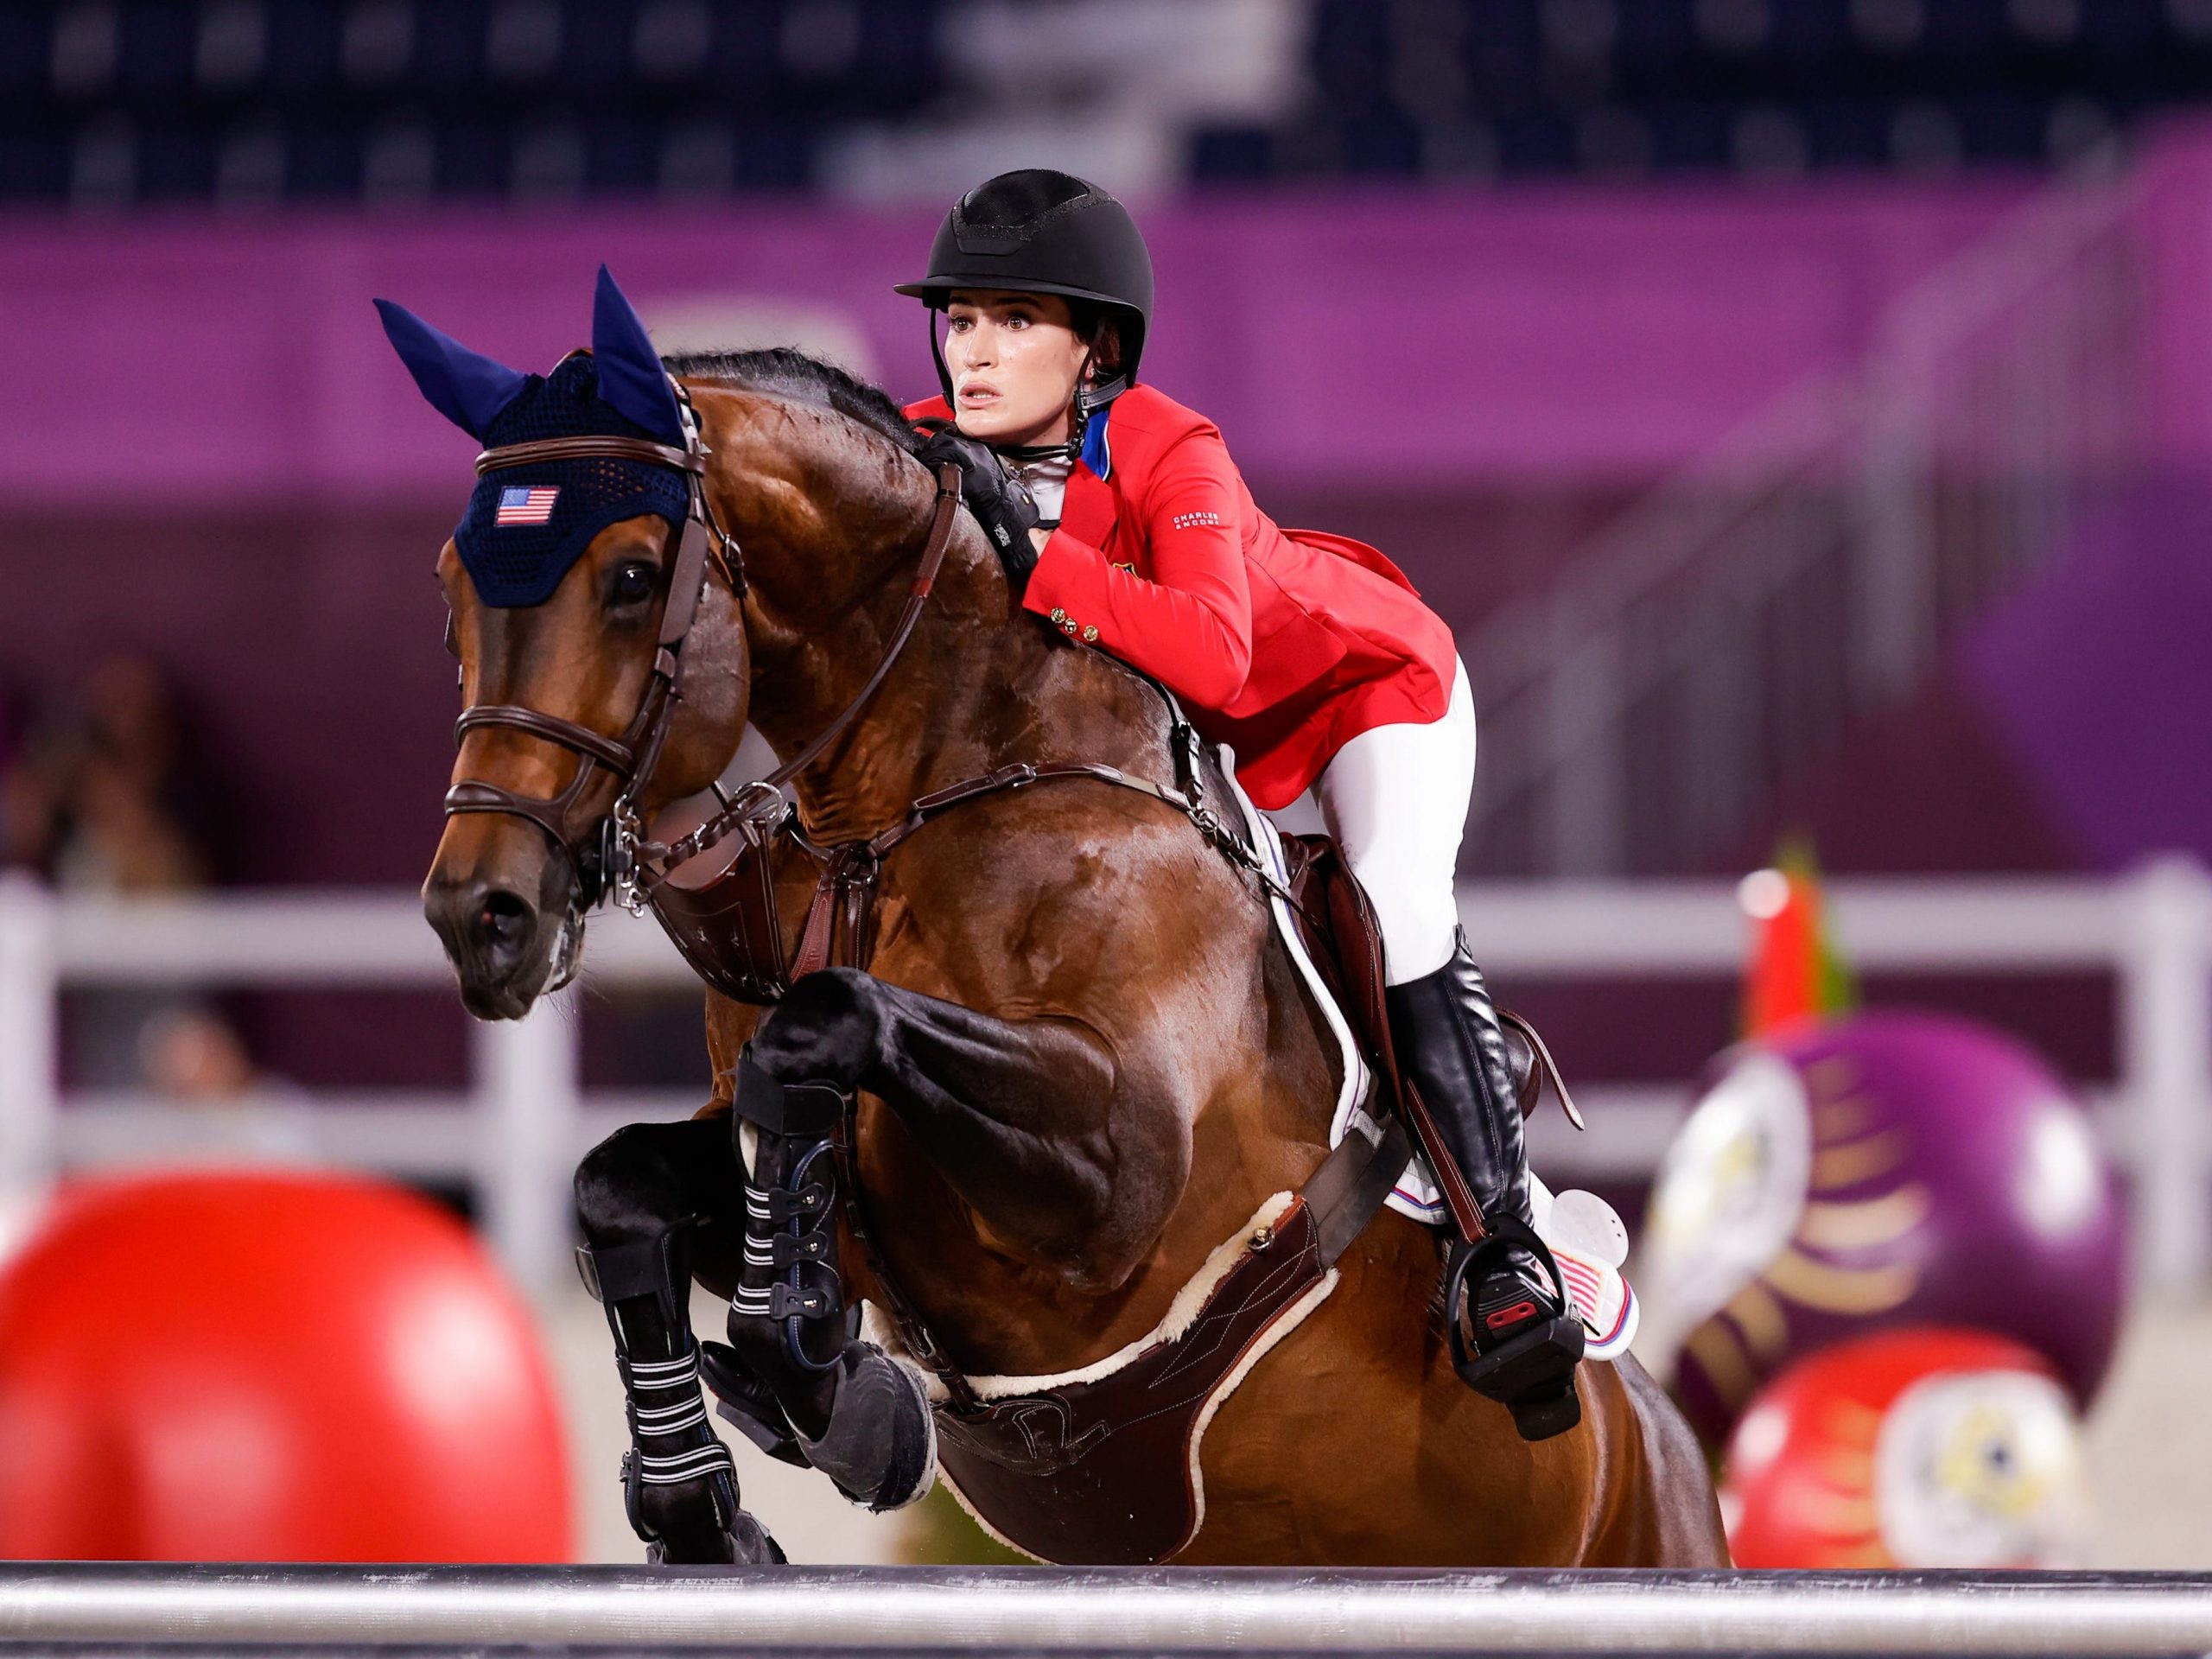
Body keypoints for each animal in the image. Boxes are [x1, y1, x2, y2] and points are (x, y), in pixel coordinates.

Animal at [402, 276, 1725, 1574]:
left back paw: (1517, 1301)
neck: (910, 806)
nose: (484, 917)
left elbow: (826, 1024)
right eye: (451, 588)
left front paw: (809, 1357)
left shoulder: (1115, 1174)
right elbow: (623, 1180)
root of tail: (1666, 1444)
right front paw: (706, 1492)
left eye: (630, 579)